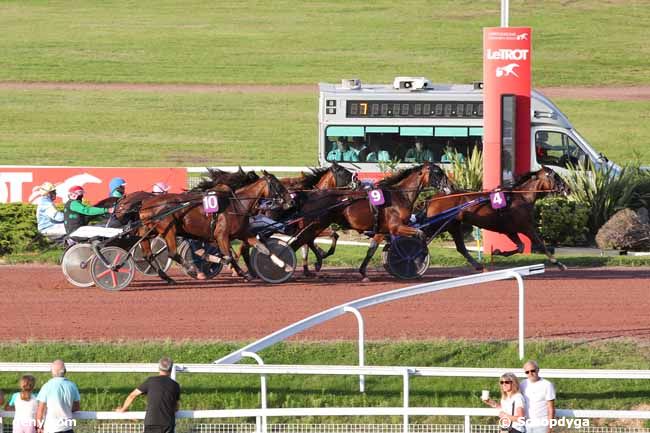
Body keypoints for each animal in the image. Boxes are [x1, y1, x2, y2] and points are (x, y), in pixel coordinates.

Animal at [138, 172, 292, 284]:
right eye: (278, 185)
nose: (290, 201)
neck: (237, 205)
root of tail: (146, 204)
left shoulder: (243, 233)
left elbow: (264, 248)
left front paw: (285, 265)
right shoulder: (221, 235)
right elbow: (228, 257)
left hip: (149, 232)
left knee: (148, 254)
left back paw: (167, 277)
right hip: (169, 230)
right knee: (172, 253)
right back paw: (190, 268)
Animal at [422, 166, 568, 270]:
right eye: (555, 176)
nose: (568, 188)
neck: (522, 197)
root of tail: (433, 197)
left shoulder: (510, 230)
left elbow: (520, 247)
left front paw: (498, 252)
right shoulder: (526, 227)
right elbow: (541, 245)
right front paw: (559, 264)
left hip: (453, 226)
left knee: (461, 247)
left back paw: (478, 265)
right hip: (441, 225)